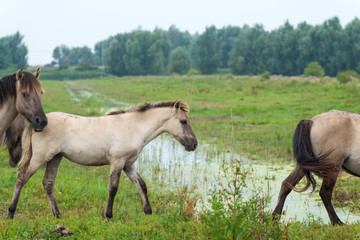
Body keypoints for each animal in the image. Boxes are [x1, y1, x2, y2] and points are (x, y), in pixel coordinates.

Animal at [7, 99, 197, 219]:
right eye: (183, 121)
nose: (194, 144)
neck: (133, 127)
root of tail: (37, 123)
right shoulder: (118, 162)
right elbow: (113, 188)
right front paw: (109, 215)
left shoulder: (128, 164)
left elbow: (142, 185)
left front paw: (148, 212)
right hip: (40, 157)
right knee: (22, 178)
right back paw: (11, 212)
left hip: (55, 158)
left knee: (48, 183)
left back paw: (58, 215)